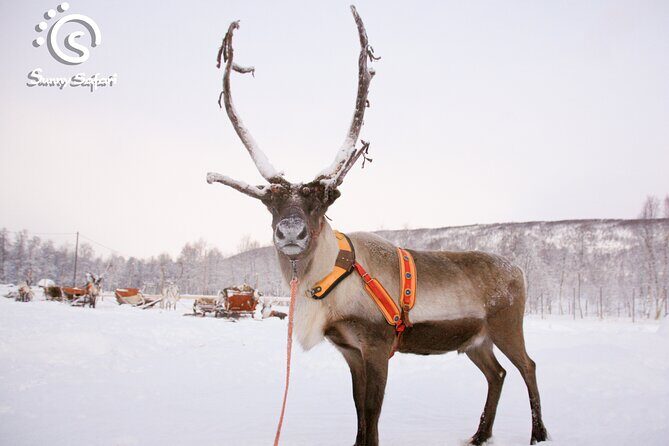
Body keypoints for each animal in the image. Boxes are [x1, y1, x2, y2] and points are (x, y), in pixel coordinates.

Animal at [206, 6, 548, 446]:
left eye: (322, 201)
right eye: (269, 202)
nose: (290, 233)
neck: (330, 282)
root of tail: (520, 271)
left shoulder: (377, 346)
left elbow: (372, 414)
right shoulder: (350, 351)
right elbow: (358, 413)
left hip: (506, 325)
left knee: (528, 366)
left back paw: (538, 433)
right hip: (475, 340)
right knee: (498, 373)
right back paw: (479, 434)